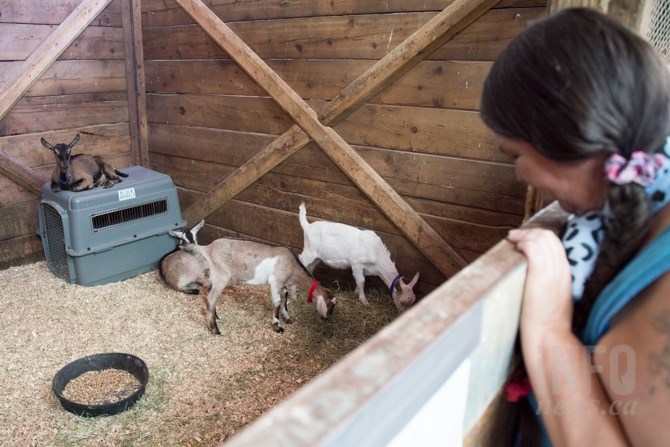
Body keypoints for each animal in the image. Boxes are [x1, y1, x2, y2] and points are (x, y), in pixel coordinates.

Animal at [176, 222, 338, 334]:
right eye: (329, 305)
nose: (327, 318)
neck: (292, 265)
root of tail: (208, 248)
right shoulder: (275, 282)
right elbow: (277, 302)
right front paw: (277, 326)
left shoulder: (283, 284)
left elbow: (285, 298)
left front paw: (287, 318)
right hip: (222, 274)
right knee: (210, 298)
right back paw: (215, 329)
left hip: (215, 273)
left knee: (209, 292)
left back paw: (216, 317)